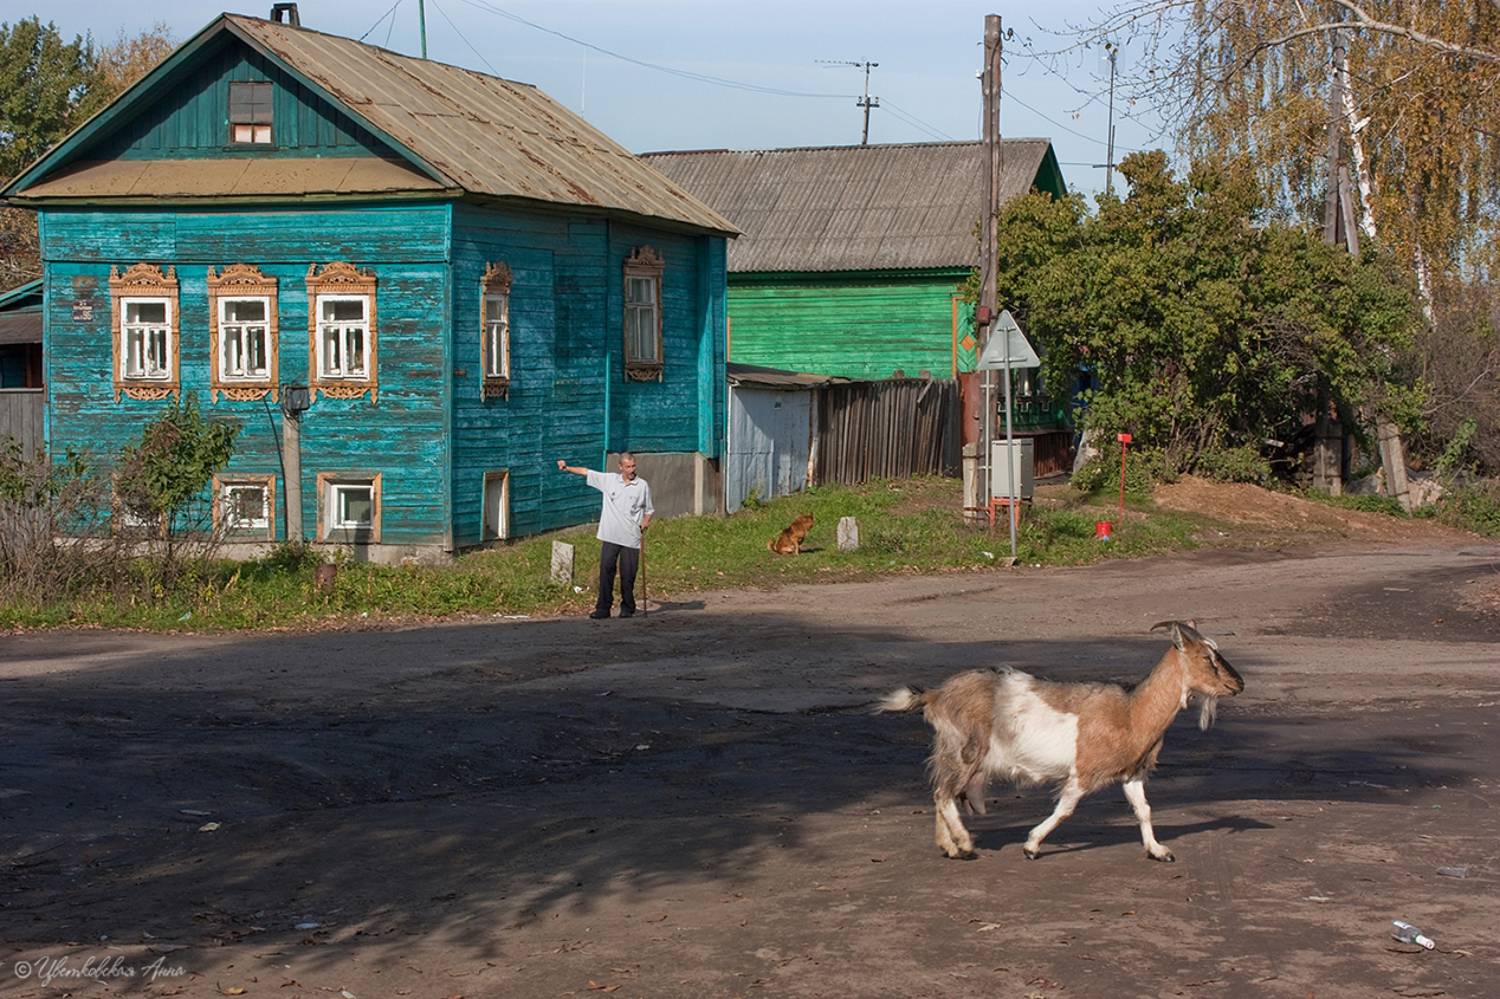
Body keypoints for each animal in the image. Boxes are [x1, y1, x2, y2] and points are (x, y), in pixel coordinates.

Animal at [877, 621, 1244, 862]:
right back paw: (965, 846)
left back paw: (949, 846)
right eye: (1207, 658)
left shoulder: (1132, 773)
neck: (1132, 711)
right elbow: (1065, 809)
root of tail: (936, 695)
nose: (1238, 684)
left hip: (952, 752)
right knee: (944, 794)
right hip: (968, 749)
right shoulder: (1083, 771)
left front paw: (1158, 850)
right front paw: (1031, 846)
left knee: (943, 793)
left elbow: (1144, 810)